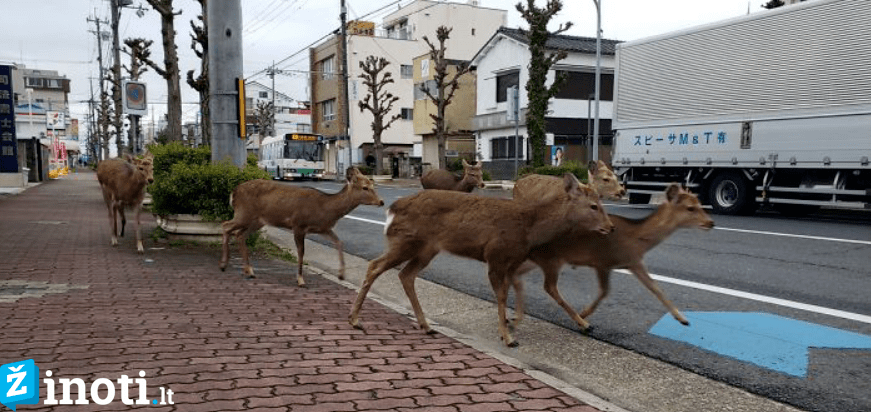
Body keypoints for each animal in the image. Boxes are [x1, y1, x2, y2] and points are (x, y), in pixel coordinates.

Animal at [220, 167, 384, 286]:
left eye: (373, 184)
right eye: (365, 187)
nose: (381, 201)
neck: (325, 208)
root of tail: (233, 193)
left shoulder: (323, 228)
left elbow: (339, 242)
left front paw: (341, 274)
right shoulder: (298, 224)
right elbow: (301, 252)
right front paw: (300, 280)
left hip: (257, 221)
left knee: (240, 234)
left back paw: (249, 270)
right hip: (244, 213)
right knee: (225, 225)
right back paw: (224, 264)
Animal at [348, 174, 612, 348]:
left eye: (601, 204)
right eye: (593, 206)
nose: (610, 226)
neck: (530, 228)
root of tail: (391, 209)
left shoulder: (512, 261)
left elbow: (512, 291)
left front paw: (585, 324)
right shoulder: (495, 255)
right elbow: (502, 295)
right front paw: (508, 337)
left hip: (426, 249)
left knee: (406, 274)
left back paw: (426, 325)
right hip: (406, 242)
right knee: (374, 266)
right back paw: (355, 320)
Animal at [510, 183, 716, 332]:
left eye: (700, 204)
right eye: (690, 208)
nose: (711, 222)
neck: (636, 239)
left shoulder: (634, 262)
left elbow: (656, 288)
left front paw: (682, 318)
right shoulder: (603, 261)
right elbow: (605, 291)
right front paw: (584, 314)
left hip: (535, 259)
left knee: (516, 276)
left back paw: (515, 317)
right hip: (551, 258)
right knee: (549, 287)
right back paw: (582, 323)